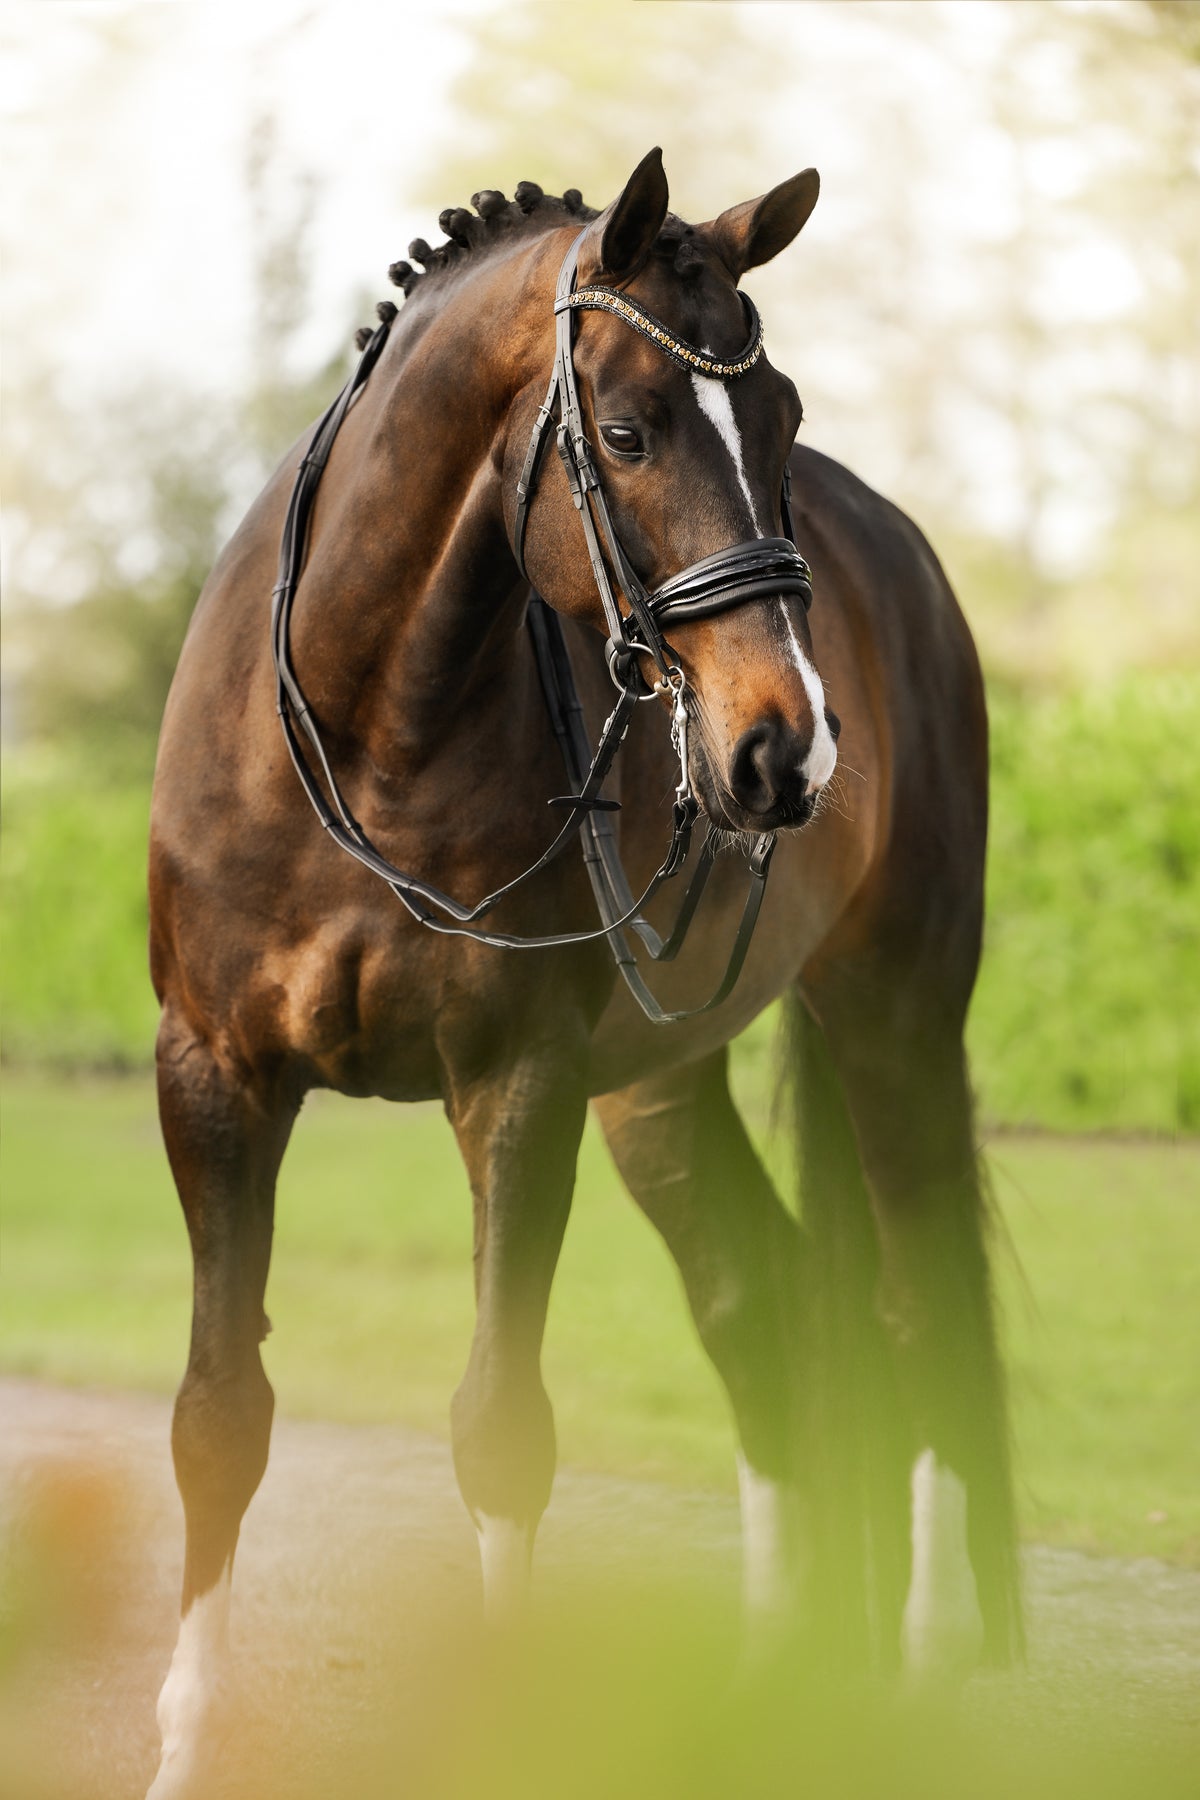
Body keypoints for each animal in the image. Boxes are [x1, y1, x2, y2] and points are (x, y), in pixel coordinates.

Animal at [145, 148, 1019, 1797]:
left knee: (922, 1309)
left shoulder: (517, 1092)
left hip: (895, 1021)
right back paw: (765, 1678)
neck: (369, 727)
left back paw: (935, 1680)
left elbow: (502, 1430)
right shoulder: (214, 1080)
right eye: (626, 431)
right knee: (758, 1298)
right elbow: (220, 1415)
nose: (787, 750)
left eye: (783, 415)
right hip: (661, 1088)